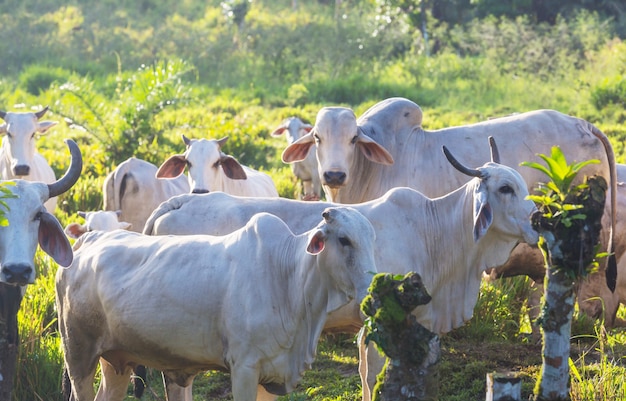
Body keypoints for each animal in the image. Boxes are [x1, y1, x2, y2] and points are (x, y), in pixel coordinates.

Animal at [58, 206, 378, 400]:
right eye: (344, 240)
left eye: (371, 239)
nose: (370, 295)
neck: (288, 277)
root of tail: (88, 241)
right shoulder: (244, 368)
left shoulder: (274, 374)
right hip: (79, 356)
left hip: (116, 361)